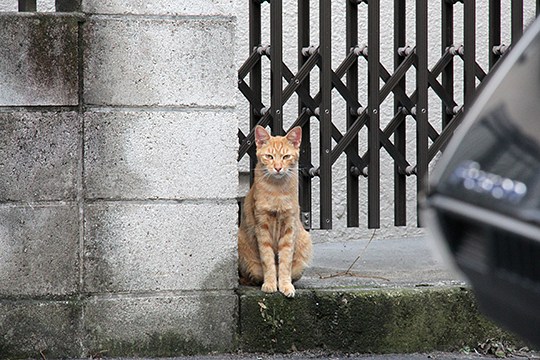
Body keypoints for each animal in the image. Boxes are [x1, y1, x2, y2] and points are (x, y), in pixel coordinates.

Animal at [237, 125, 312, 296]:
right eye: (269, 156)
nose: (278, 168)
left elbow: (285, 261)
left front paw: (285, 285)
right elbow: (268, 259)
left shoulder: (289, 227)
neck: (277, 191)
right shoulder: (262, 227)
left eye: (286, 156)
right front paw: (271, 284)